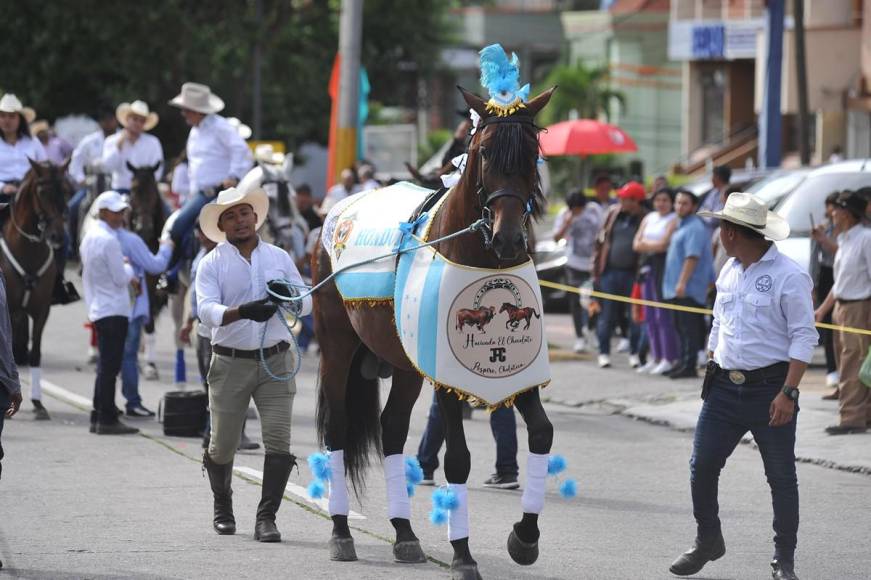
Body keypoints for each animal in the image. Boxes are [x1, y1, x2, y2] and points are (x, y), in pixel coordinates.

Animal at [0, 161, 73, 420]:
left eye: (67, 190)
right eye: (42, 192)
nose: (57, 236)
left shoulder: (41, 312)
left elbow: (36, 354)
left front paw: (38, 404)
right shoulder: (10, 308)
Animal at [314, 87, 556, 580]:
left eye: (531, 154)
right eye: (484, 153)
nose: (508, 239)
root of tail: (337, 212)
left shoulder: (516, 367)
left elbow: (541, 433)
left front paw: (524, 538)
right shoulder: (447, 376)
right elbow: (458, 457)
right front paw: (462, 554)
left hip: (404, 364)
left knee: (391, 430)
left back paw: (404, 534)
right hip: (336, 346)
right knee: (338, 428)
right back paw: (342, 531)